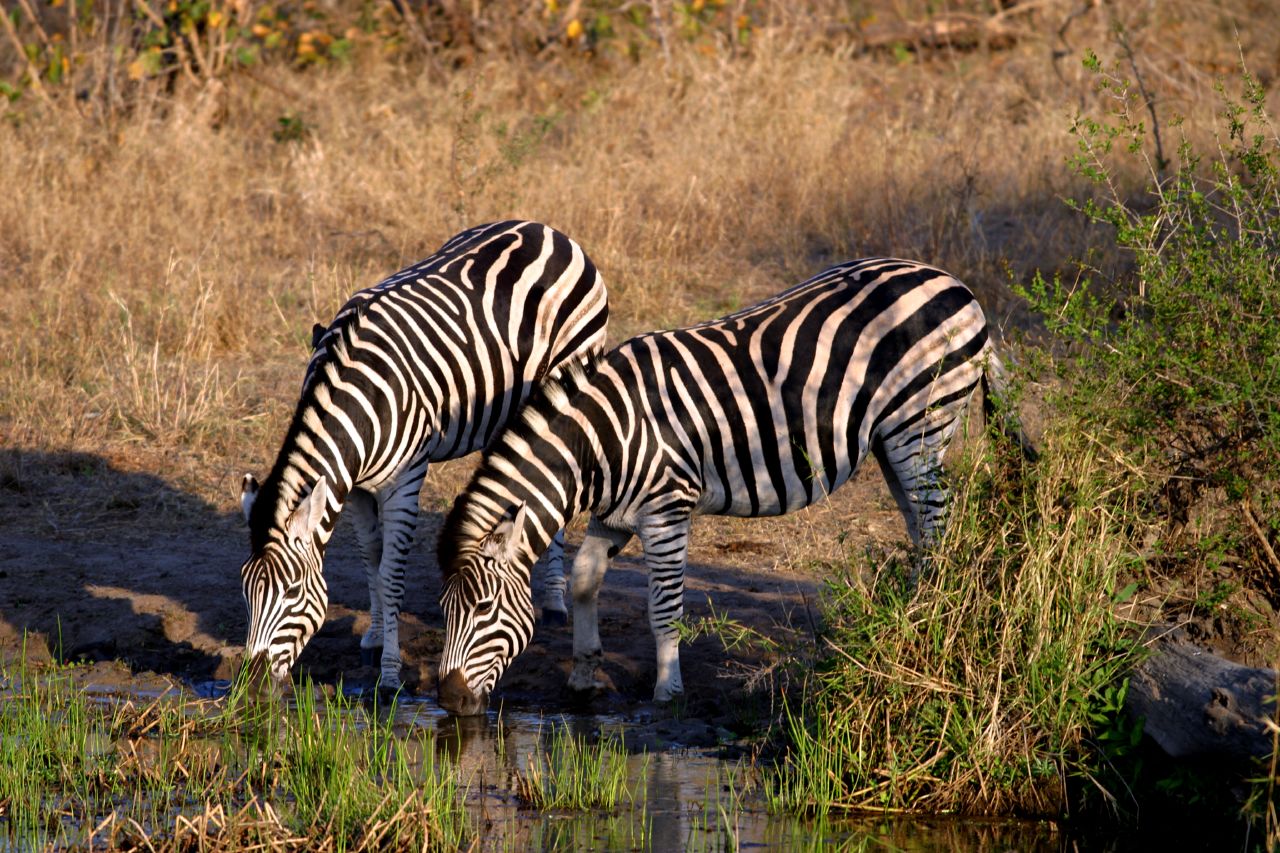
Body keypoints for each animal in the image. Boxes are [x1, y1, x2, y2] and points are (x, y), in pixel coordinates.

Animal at [238, 220, 608, 694]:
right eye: (246, 589)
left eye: (291, 591)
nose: (252, 684)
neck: (357, 399)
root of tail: (546, 229)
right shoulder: (354, 487)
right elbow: (370, 561)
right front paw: (374, 637)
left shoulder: (404, 481)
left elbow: (391, 575)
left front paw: (390, 673)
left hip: (569, 373)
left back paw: (556, 601)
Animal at [435, 257, 1033, 715]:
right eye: (445, 611)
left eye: (483, 610)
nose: (448, 701)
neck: (602, 442)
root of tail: (953, 282)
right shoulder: (615, 515)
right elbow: (585, 580)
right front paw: (583, 675)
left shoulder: (667, 509)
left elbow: (664, 603)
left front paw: (668, 689)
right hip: (893, 439)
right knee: (920, 526)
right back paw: (908, 613)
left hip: (923, 421)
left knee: (938, 524)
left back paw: (928, 615)